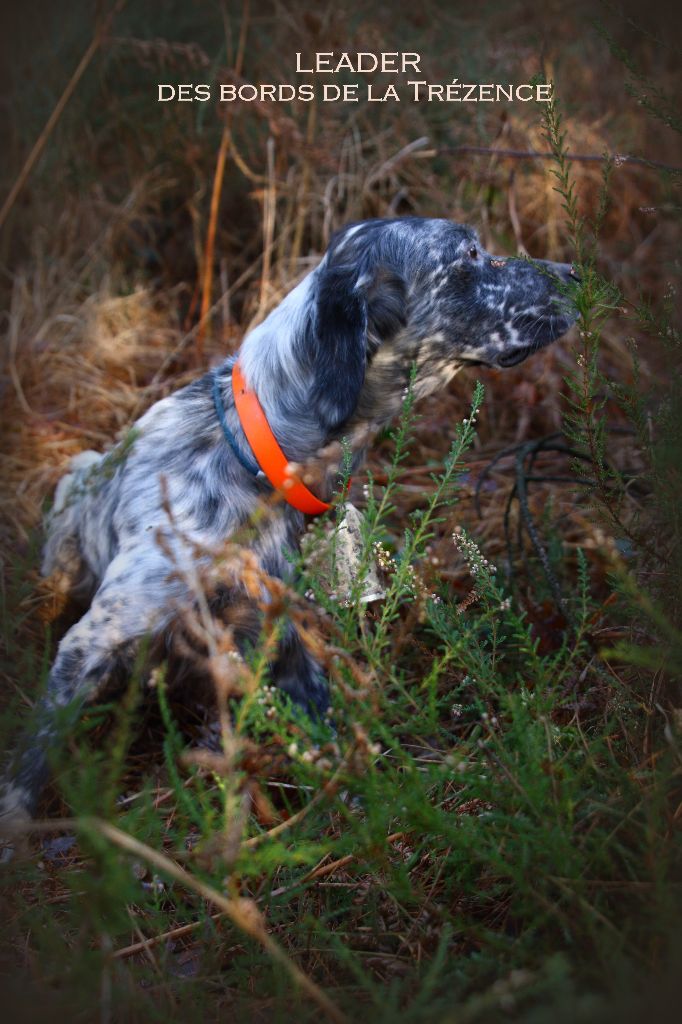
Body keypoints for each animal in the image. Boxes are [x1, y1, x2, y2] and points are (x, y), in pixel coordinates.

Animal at [0, 214, 577, 823]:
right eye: (470, 253)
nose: (576, 272)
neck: (251, 457)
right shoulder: (94, 639)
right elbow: (35, 755)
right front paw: (16, 823)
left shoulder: (285, 639)